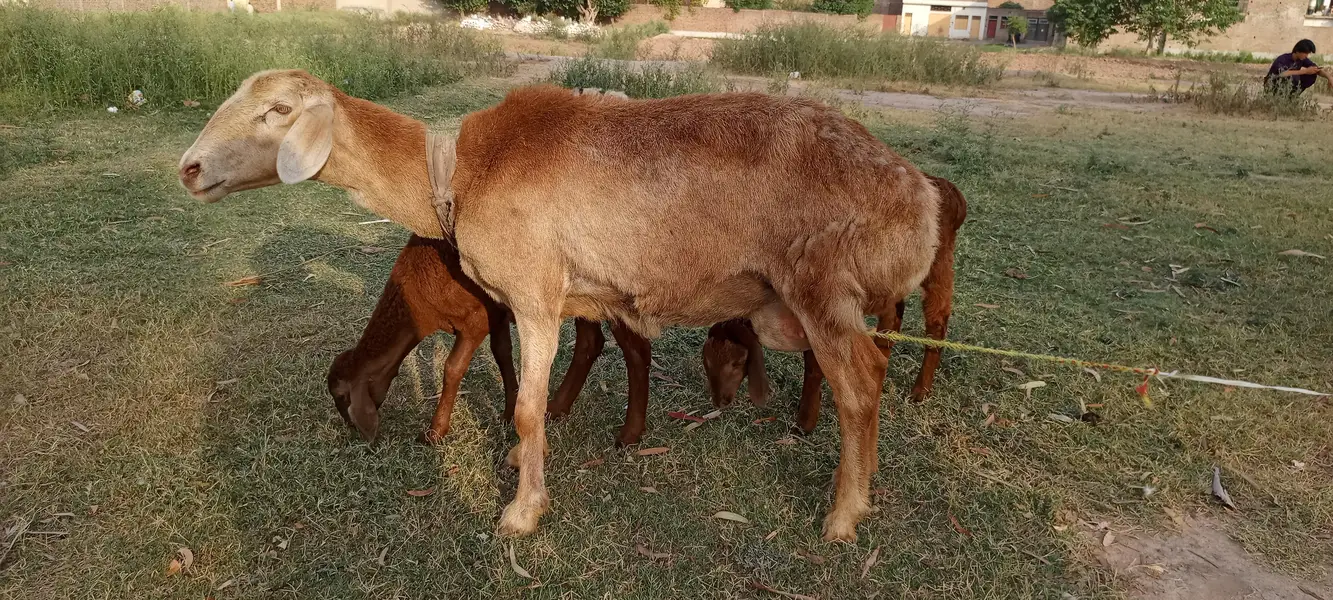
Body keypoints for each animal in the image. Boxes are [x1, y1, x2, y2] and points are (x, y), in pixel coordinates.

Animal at [180, 71, 942, 542]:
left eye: (278, 112)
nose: (188, 168)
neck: (453, 173)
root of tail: (919, 201)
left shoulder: (535, 295)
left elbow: (524, 406)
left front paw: (521, 513)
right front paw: (524, 468)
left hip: (823, 285)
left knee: (860, 384)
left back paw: (843, 517)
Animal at [703, 175, 968, 435]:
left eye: (737, 362)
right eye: (707, 362)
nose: (720, 401)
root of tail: (952, 192)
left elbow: (814, 364)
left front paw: (805, 422)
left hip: (939, 264)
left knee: (937, 322)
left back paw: (920, 391)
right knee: (894, 315)